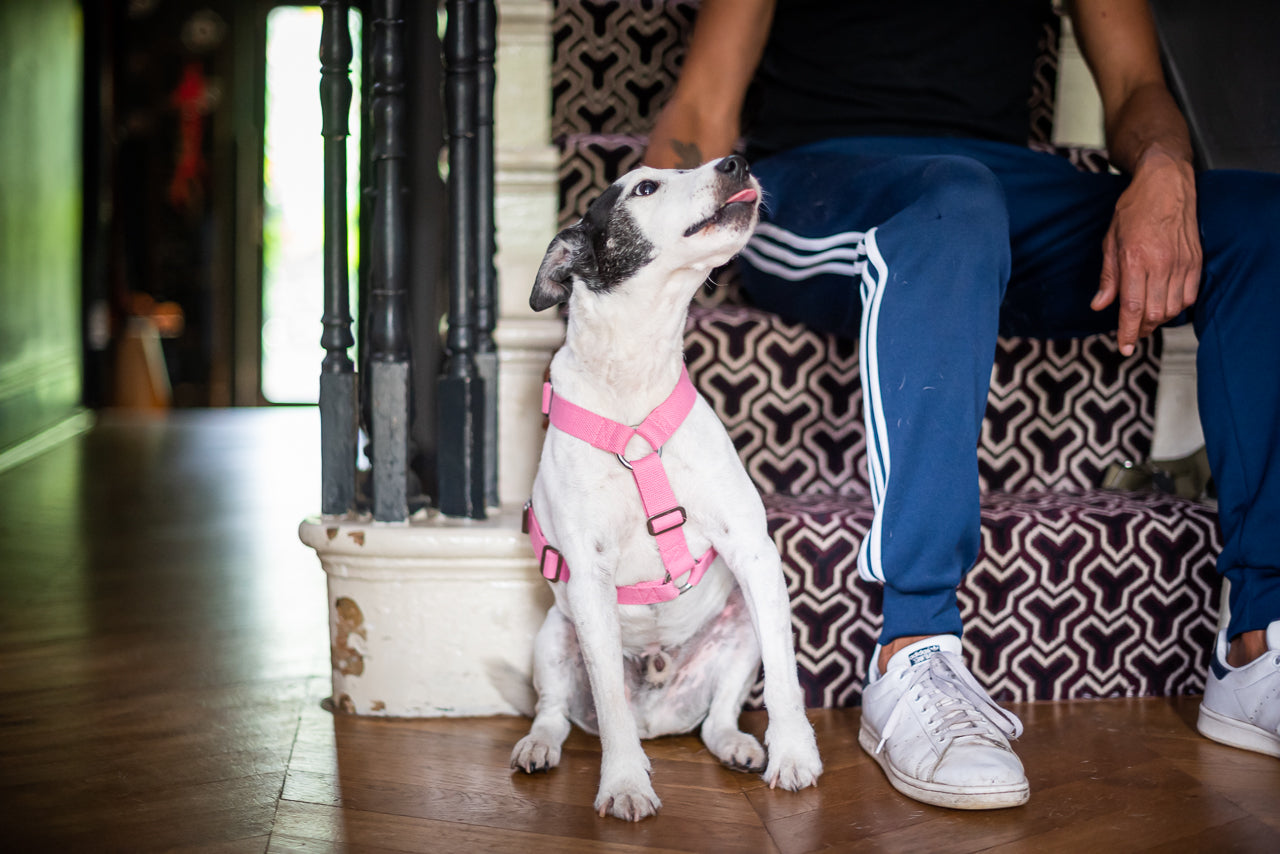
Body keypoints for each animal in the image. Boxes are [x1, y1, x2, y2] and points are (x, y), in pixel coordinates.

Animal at [509, 158, 819, 819]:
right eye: (645, 187)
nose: (736, 162)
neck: (634, 376)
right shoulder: (590, 577)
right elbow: (611, 709)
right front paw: (625, 783)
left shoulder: (754, 553)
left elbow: (786, 681)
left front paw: (792, 755)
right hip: (553, 637)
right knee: (557, 711)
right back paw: (539, 746)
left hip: (740, 629)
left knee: (718, 716)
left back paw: (738, 745)